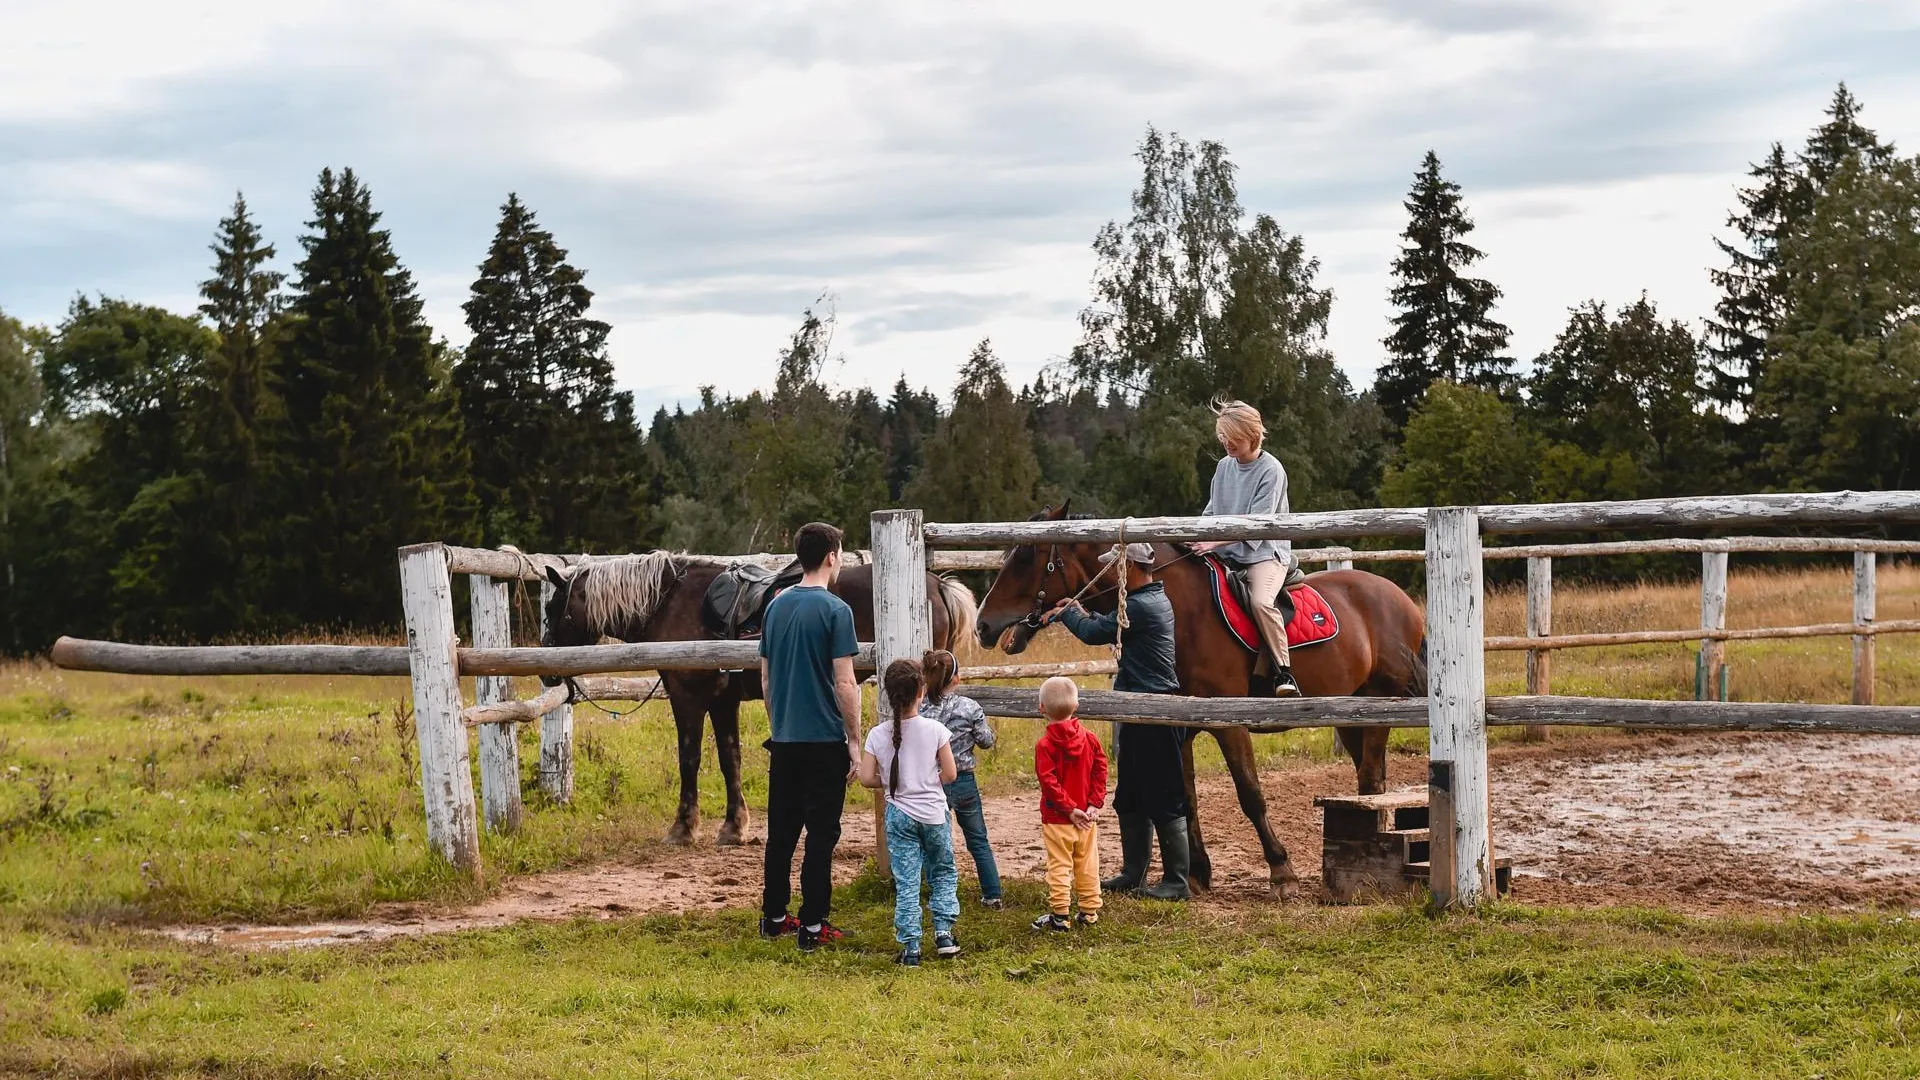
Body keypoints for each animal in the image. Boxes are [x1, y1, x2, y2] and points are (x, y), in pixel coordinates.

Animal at [549, 549, 983, 845]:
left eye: (554, 610)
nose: (548, 669)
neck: (669, 602)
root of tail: (937, 584)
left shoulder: (688, 699)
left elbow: (689, 760)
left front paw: (683, 827)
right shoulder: (722, 703)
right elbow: (730, 760)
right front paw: (733, 826)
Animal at [983, 503, 1420, 891]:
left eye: (1027, 556)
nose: (985, 624)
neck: (1181, 610)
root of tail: (1401, 598)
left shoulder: (1228, 724)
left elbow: (1250, 794)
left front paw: (1282, 872)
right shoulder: (1179, 726)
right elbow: (1186, 798)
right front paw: (1196, 874)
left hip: (1379, 700)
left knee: (1371, 778)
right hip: (1350, 712)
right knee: (1368, 775)